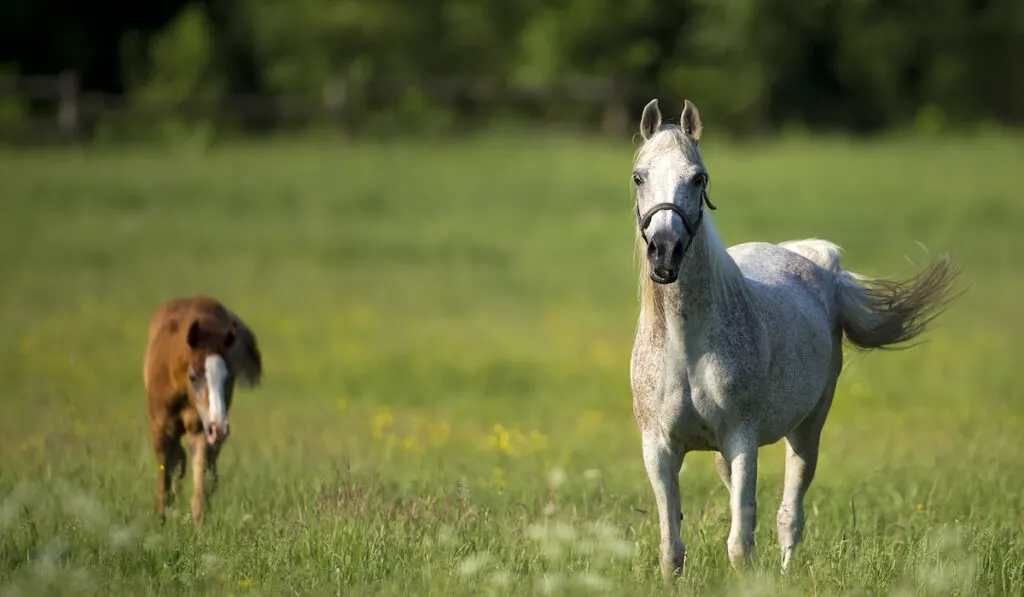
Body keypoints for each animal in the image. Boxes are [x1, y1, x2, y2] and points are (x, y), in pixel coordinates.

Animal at [622, 98, 958, 577]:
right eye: (639, 176)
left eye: (698, 177)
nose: (665, 252)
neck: (686, 346)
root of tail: (815, 262)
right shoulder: (660, 448)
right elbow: (673, 550)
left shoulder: (742, 439)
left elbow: (740, 545)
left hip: (808, 428)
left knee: (788, 514)